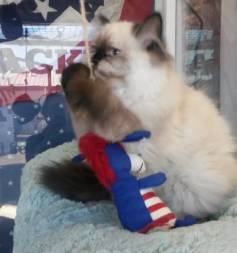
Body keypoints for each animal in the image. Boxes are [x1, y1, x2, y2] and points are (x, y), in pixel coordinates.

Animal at [39, 12, 236, 218]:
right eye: (94, 50)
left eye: (113, 52)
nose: (94, 59)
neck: (118, 91)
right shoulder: (87, 129)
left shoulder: (124, 124)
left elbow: (97, 98)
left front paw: (73, 71)